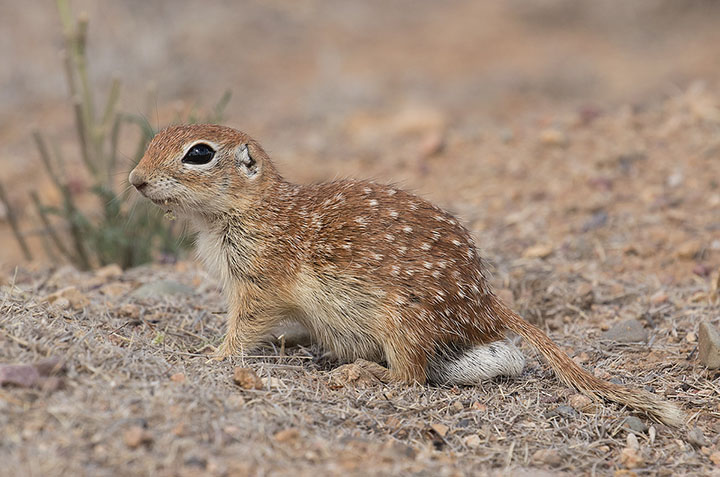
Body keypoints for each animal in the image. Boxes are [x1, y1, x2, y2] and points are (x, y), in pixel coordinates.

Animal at [129, 122, 688, 424]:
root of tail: (486, 301)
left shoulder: (259, 281)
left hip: (403, 322)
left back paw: (359, 372)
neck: (252, 208)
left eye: (199, 153)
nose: (135, 179)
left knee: (410, 377)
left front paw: (213, 354)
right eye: (154, 138)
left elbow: (244, 326)